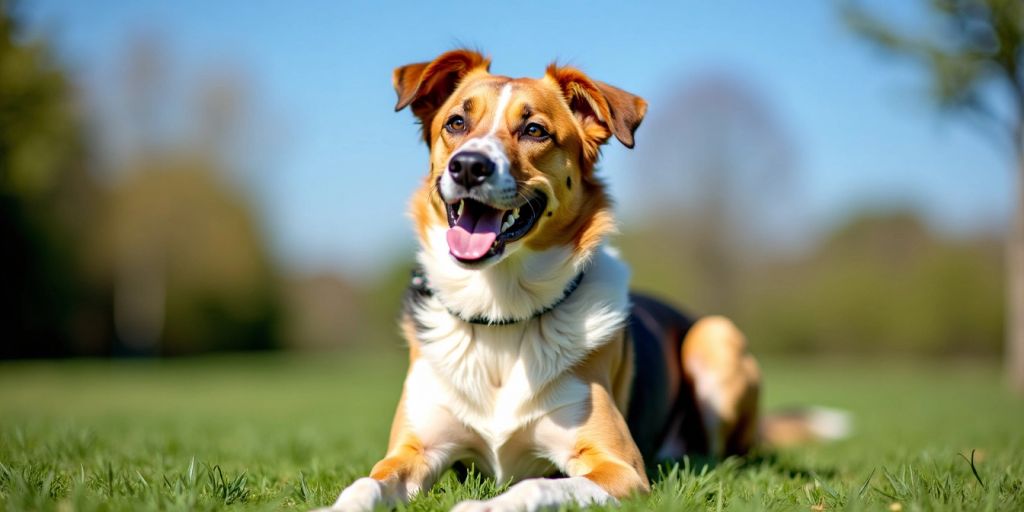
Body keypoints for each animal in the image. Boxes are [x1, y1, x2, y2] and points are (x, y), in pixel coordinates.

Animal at [315, 48, 765, 512]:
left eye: (534, 130)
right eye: (456, 123)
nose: (469, 166)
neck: (499, 312)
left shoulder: (620, 468)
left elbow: (533, 486)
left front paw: (479, 507)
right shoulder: (413, 450)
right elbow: (365, 484)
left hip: (715, 337)